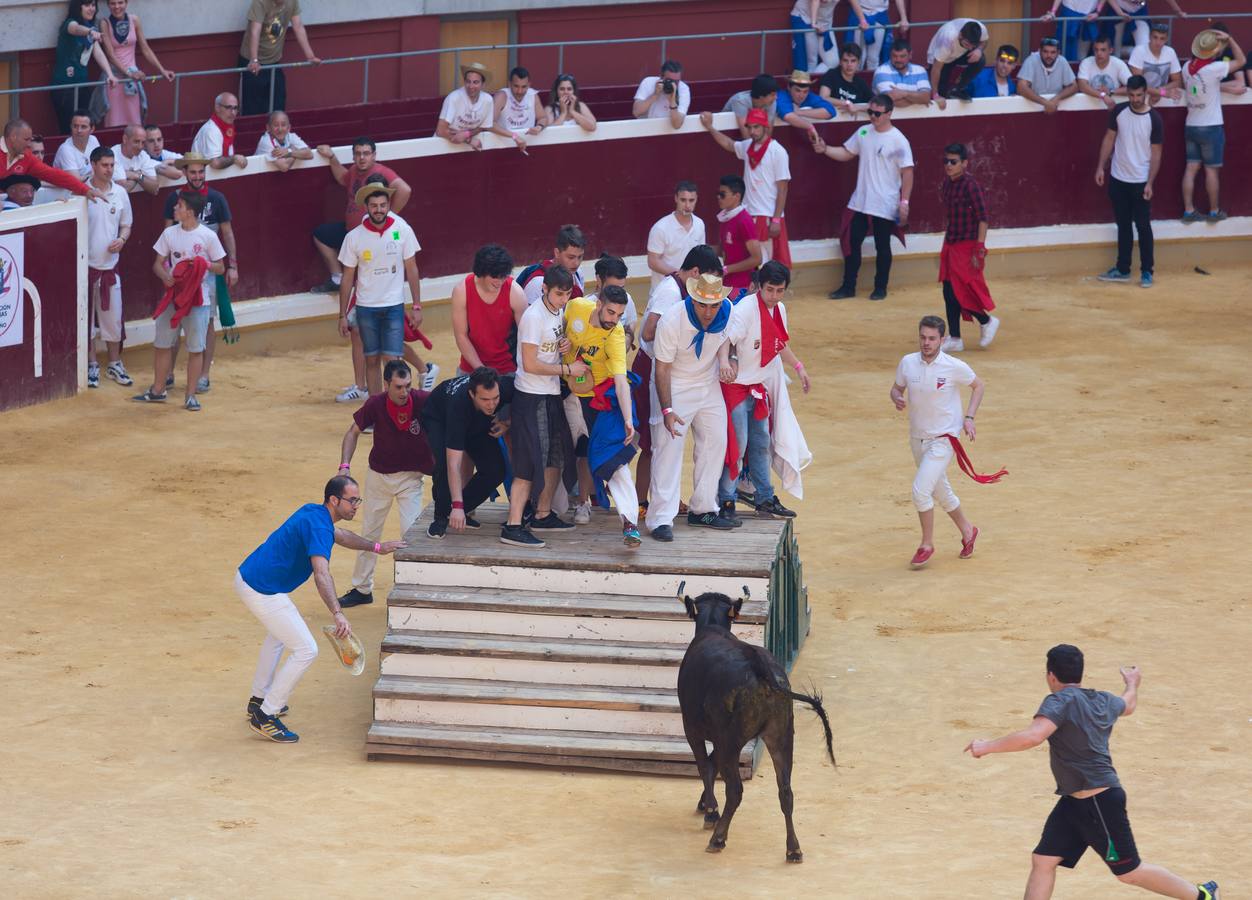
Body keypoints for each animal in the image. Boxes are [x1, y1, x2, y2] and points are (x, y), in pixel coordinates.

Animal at [676, 588, 831, 861]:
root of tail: (759, 666)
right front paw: (705, 804)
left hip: (732, 741)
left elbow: (705, 766)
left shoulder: (693, 728)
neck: (713, 626)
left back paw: (717, 838)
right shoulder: (720, 737)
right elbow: (712, 765)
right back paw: (793, 848)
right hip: (781, 736)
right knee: (785, 790)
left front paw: (710, 811)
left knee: (735, 789)